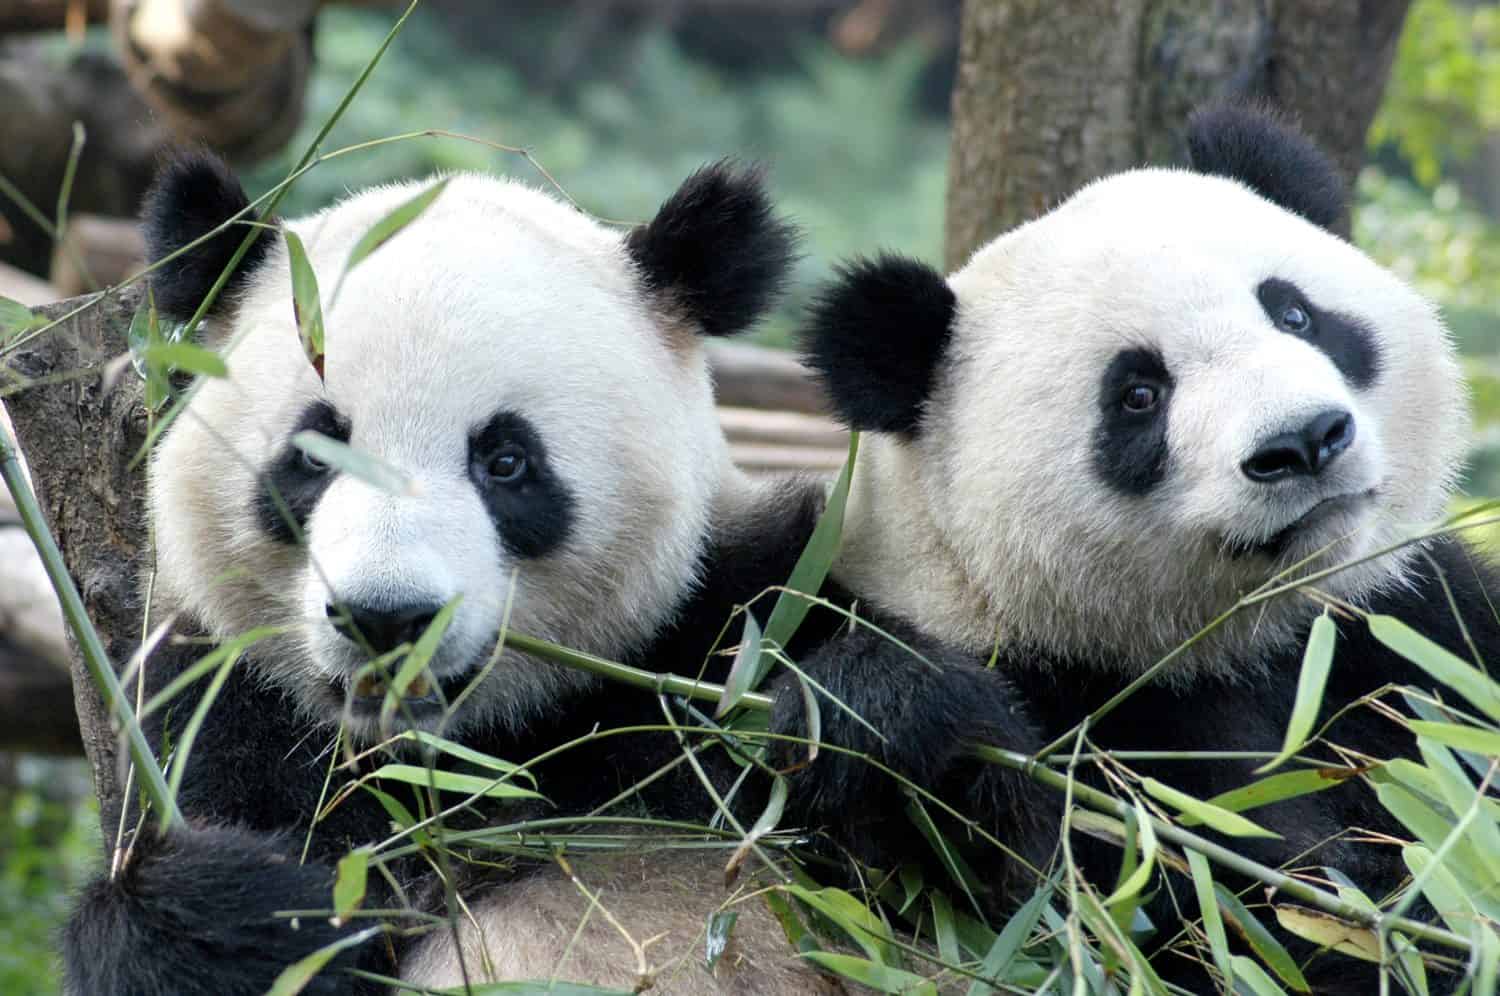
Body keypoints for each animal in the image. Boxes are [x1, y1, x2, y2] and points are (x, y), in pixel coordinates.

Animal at [61, 151, 884, 996]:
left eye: (507, 460)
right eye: (314, 455)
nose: (387, 618)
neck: (466, 755)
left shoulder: (728, 613)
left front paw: (849, 715)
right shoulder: (222, 713)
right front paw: (239, 913)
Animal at [785, 104, 1494, 994]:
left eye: (1294, 314)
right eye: (1138, 395)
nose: (1302, 442)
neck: (1249, 639)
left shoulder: (1409, 627)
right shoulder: (1092, 715)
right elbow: (1194, 908)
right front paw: (892, 710)